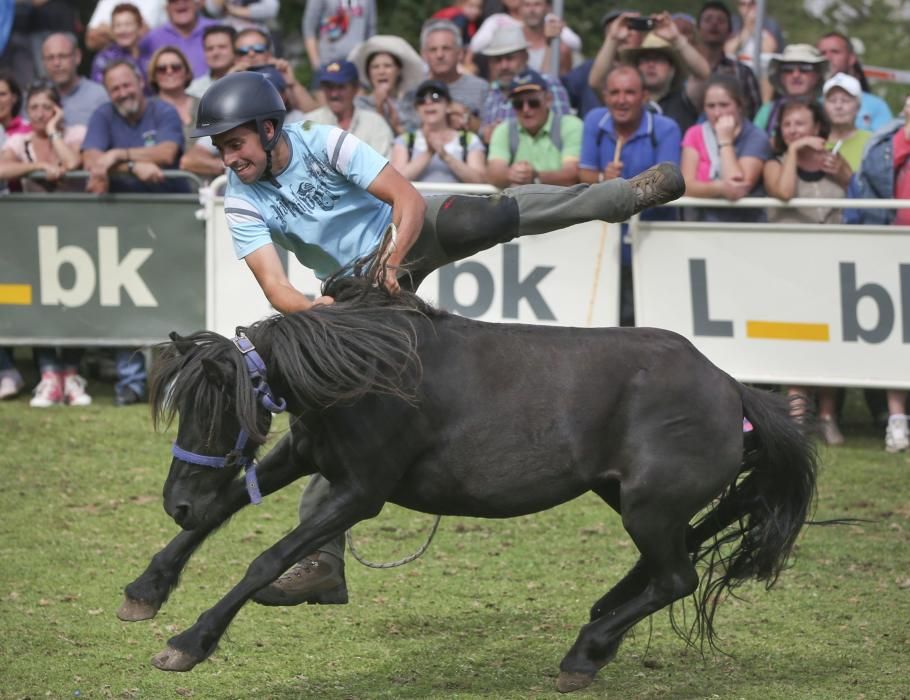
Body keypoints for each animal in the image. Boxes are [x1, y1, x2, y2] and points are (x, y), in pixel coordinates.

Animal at [123, 278, 820, 696]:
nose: (175, 501)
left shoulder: (361, 492)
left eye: (218, 412)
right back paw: (604, 615)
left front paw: (187, 644)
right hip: (626, 497)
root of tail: (730, 386)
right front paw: (146, 589)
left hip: (648, 508)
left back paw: (585, 653)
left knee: (679, 576)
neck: (367, 372)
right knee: (687, 550)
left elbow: (267, 559)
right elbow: (223, 511)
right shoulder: (304, 454)